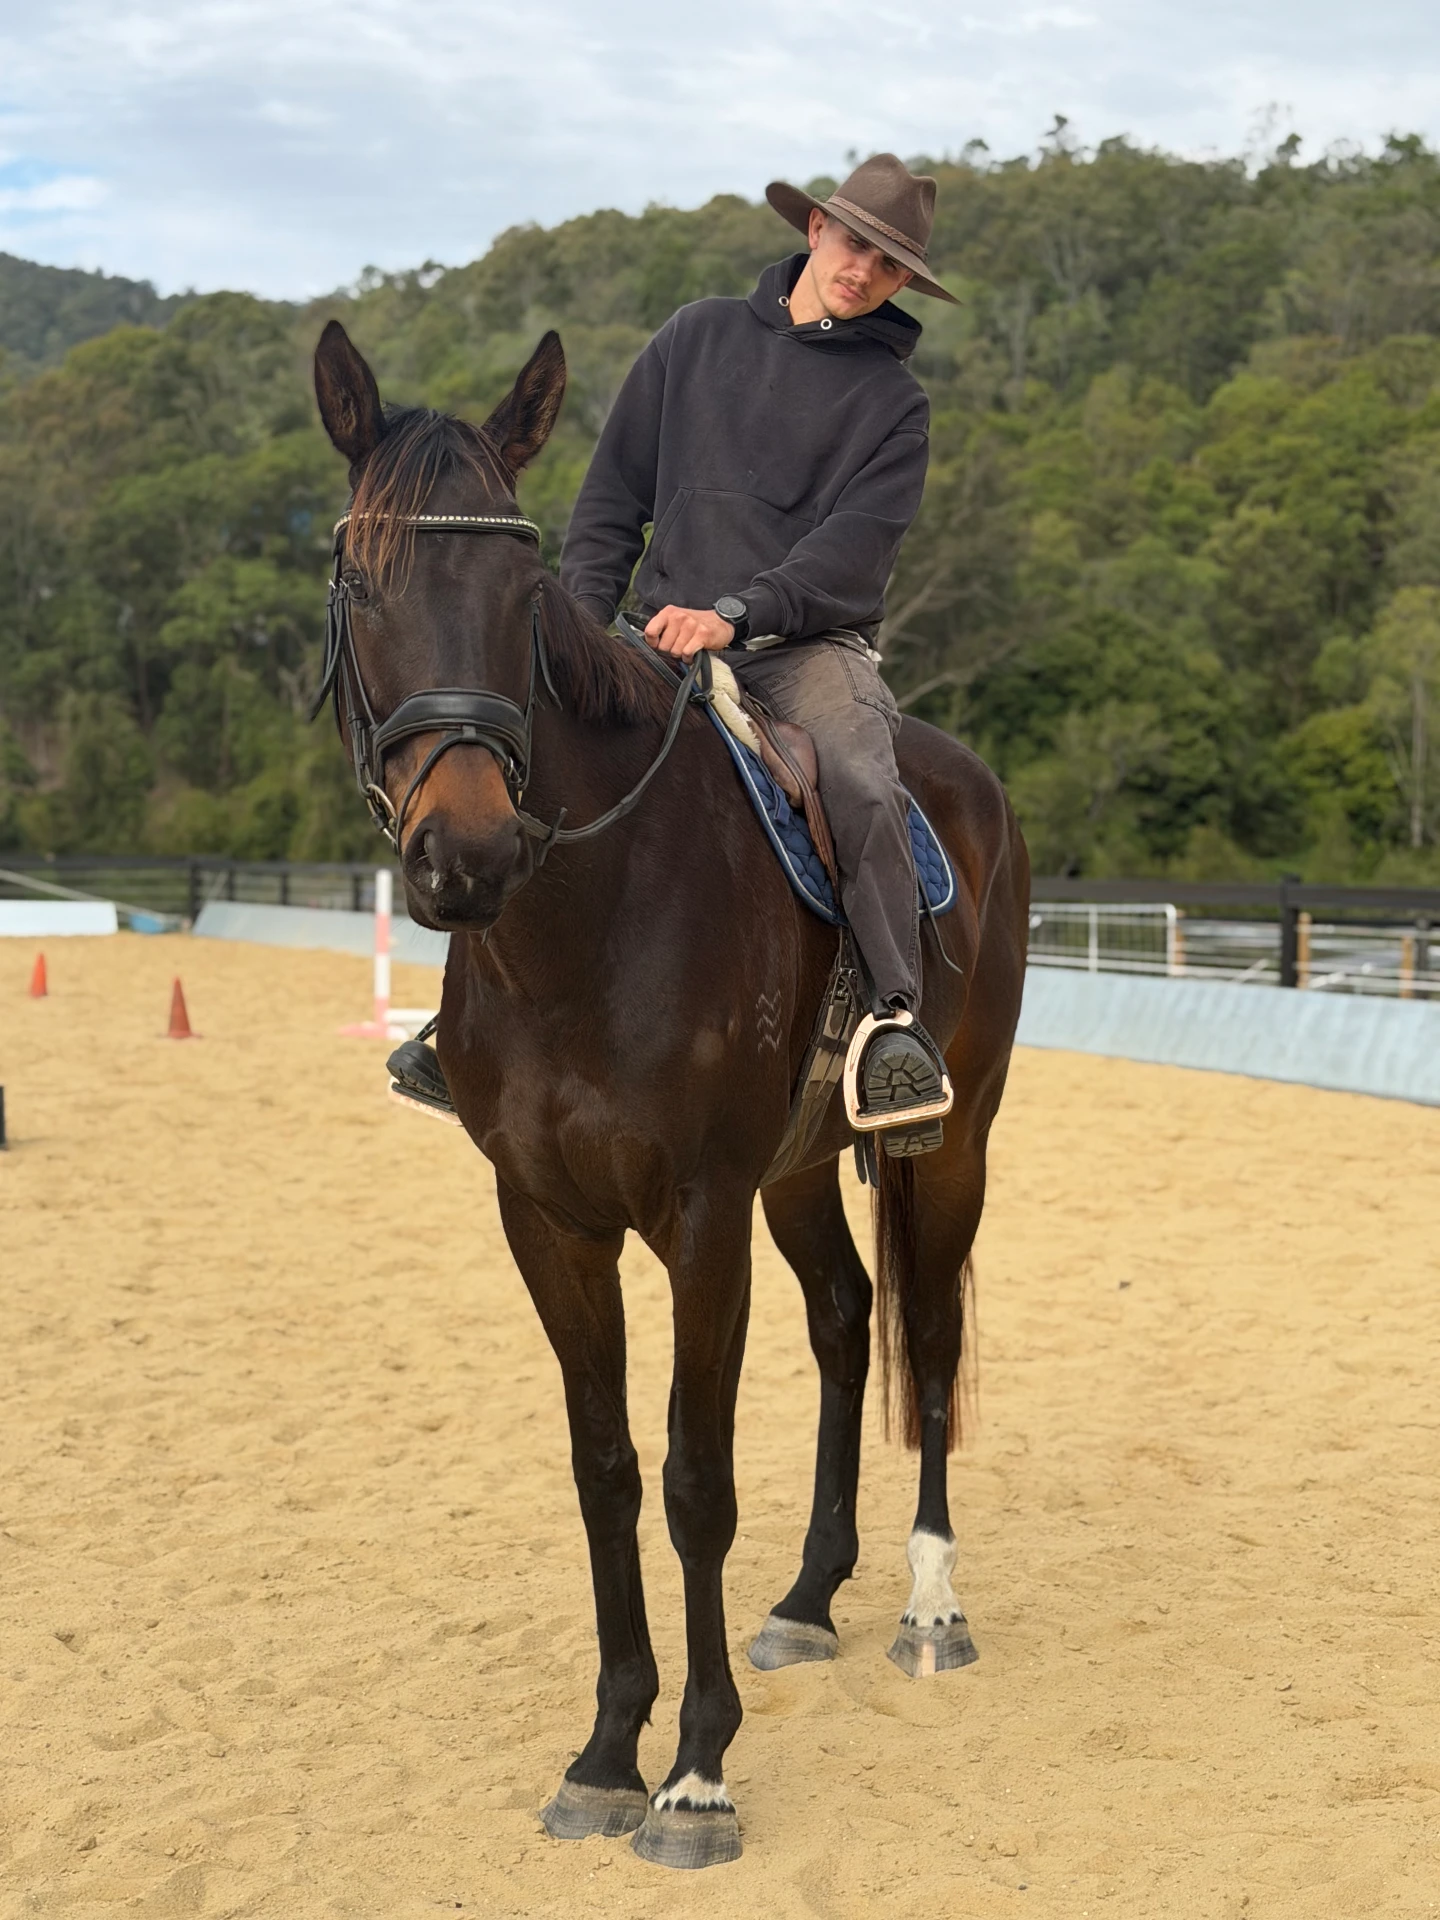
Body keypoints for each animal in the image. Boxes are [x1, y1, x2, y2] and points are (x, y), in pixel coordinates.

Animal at [311, 317, 1030, 1869]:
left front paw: (696, 1776)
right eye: (361, 579)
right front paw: (603, 1752)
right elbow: (606, 1470)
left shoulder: (699, 1216)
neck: (587, 920)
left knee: (931, 1337)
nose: (464, 855)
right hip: (800, 1171)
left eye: (518, 593)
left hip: (948, 1144)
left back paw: (929, 1608)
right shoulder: (549, 1222)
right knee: (848, 1319)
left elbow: (698, 1479)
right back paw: (812, 1598)